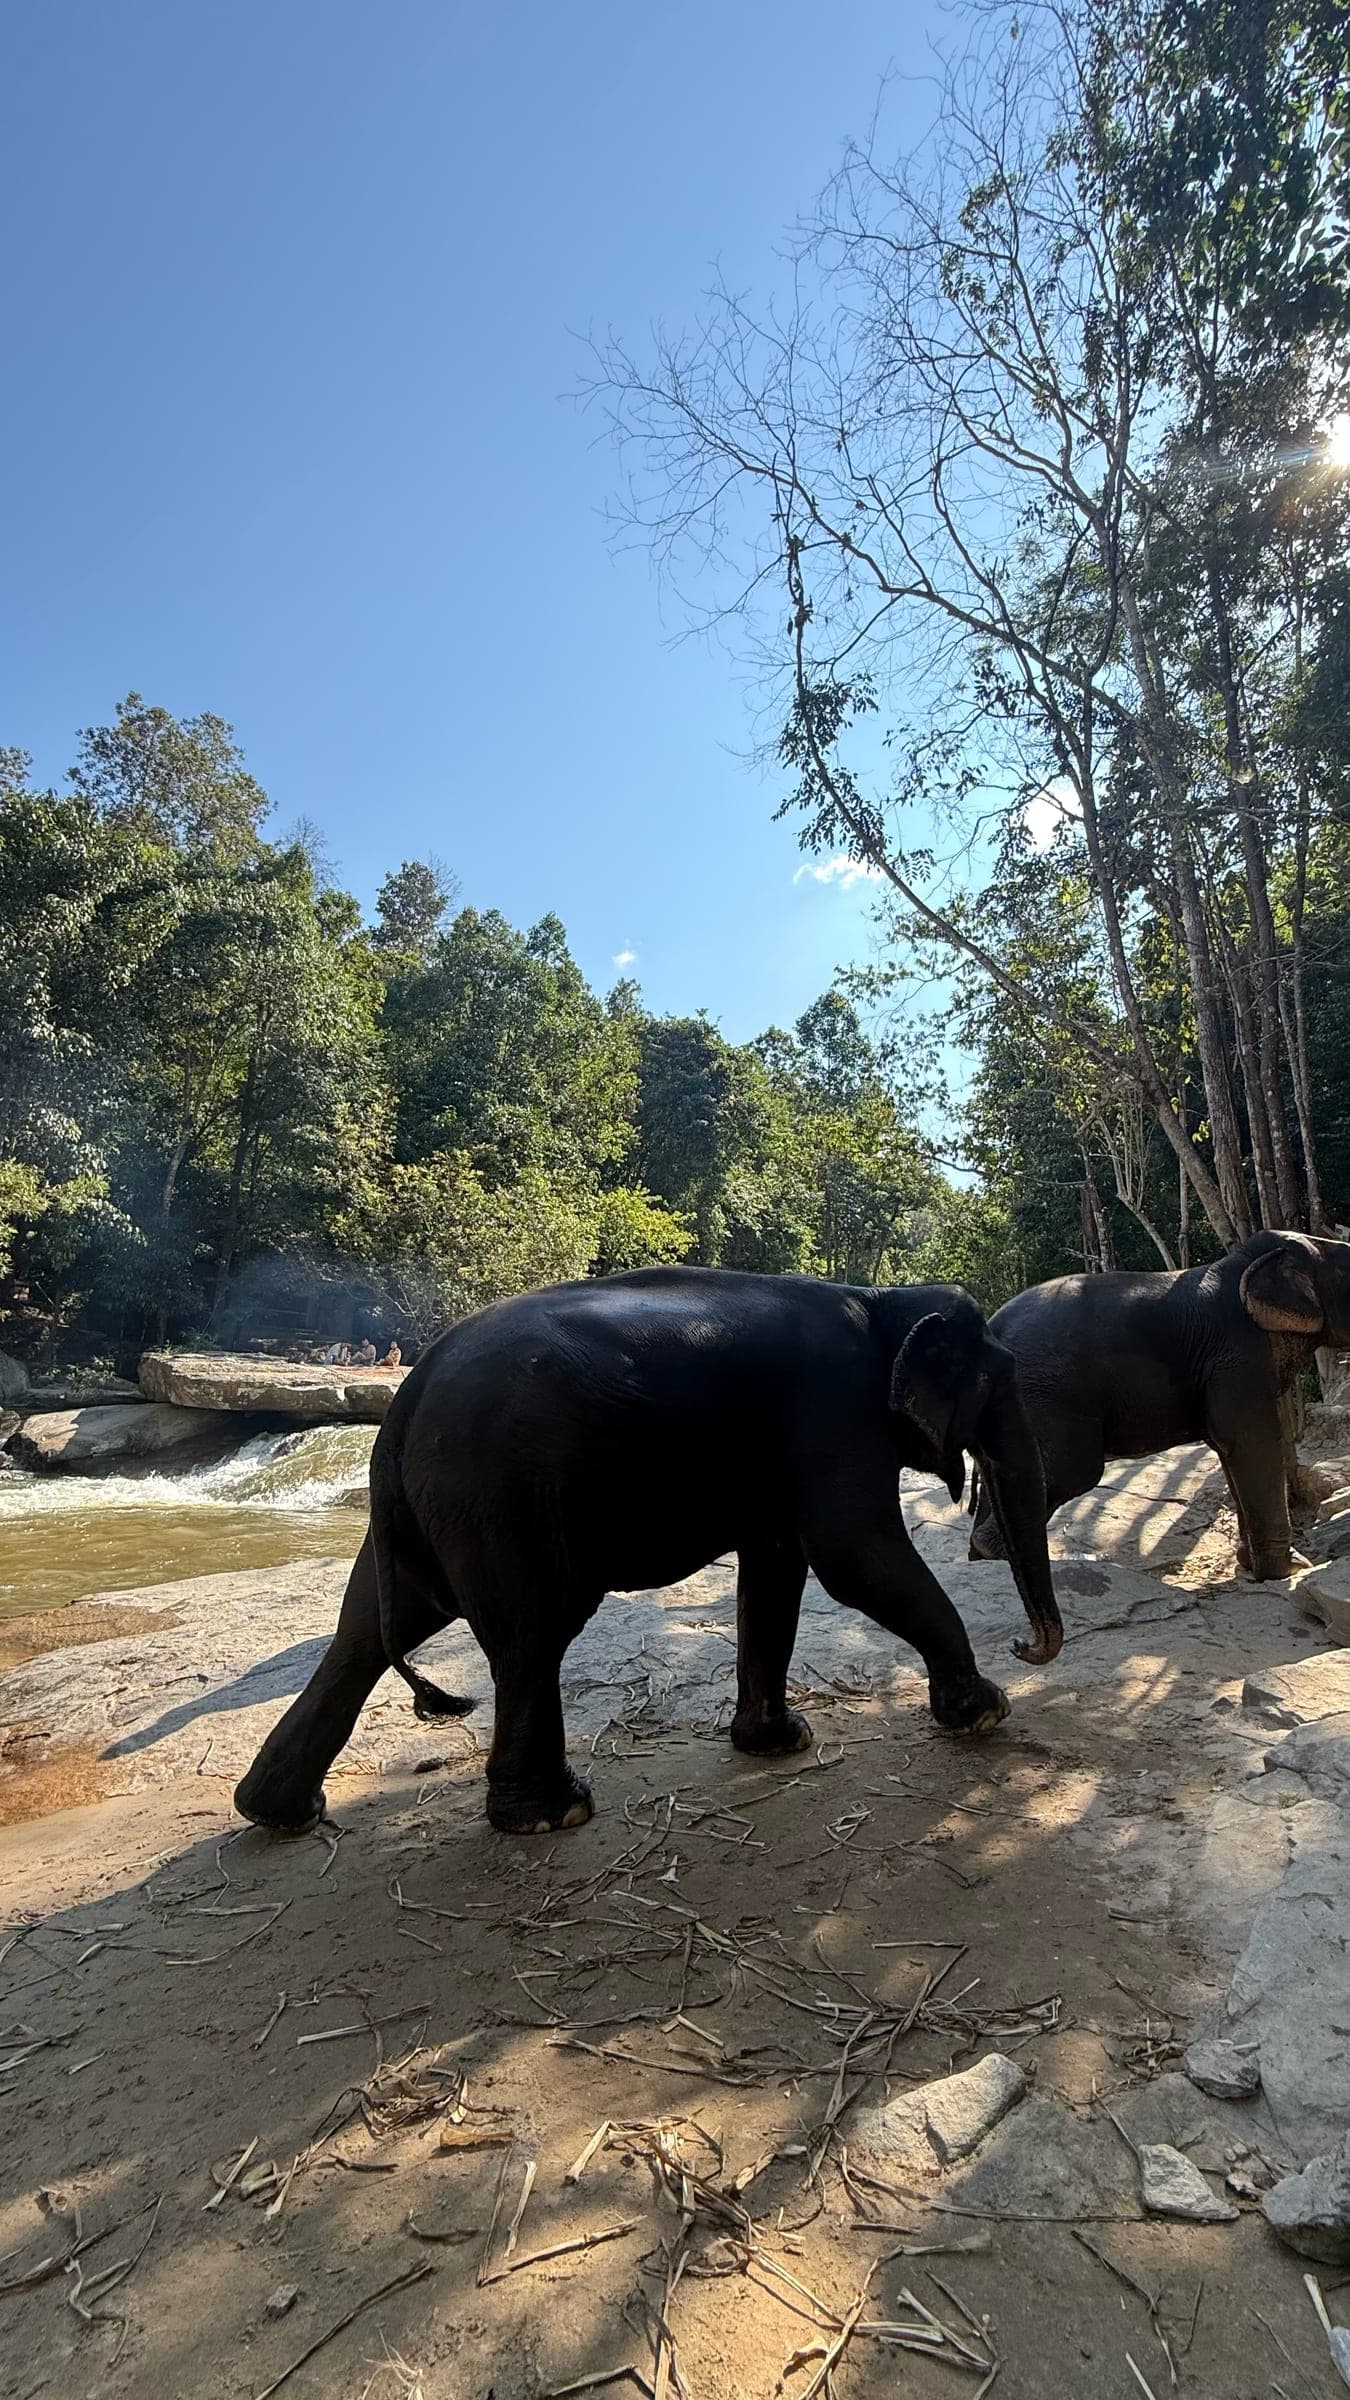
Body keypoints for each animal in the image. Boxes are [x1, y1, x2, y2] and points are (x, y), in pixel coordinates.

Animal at [234, 1266, 1062, 1838]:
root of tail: (404, 1399)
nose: (1027, 1647)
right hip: (501, 1492)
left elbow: (777, 1567)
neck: (881, 1301)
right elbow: (854, 1555)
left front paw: (781, 1744)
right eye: (997, 1385)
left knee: (372, 1629)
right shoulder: (834, 1413)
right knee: (532, 1634)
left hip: (440, 1501)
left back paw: (279, 1812)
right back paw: (553, 1816)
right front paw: (987, 1713)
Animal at [968, 1229, 1350, 1581]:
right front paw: (1288, 1571)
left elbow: (1230, 1451)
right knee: (1069, 1471)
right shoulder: (1237, 1354)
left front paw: (1256, 1565)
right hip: (1043, 1393)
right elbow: (1251, 1444)